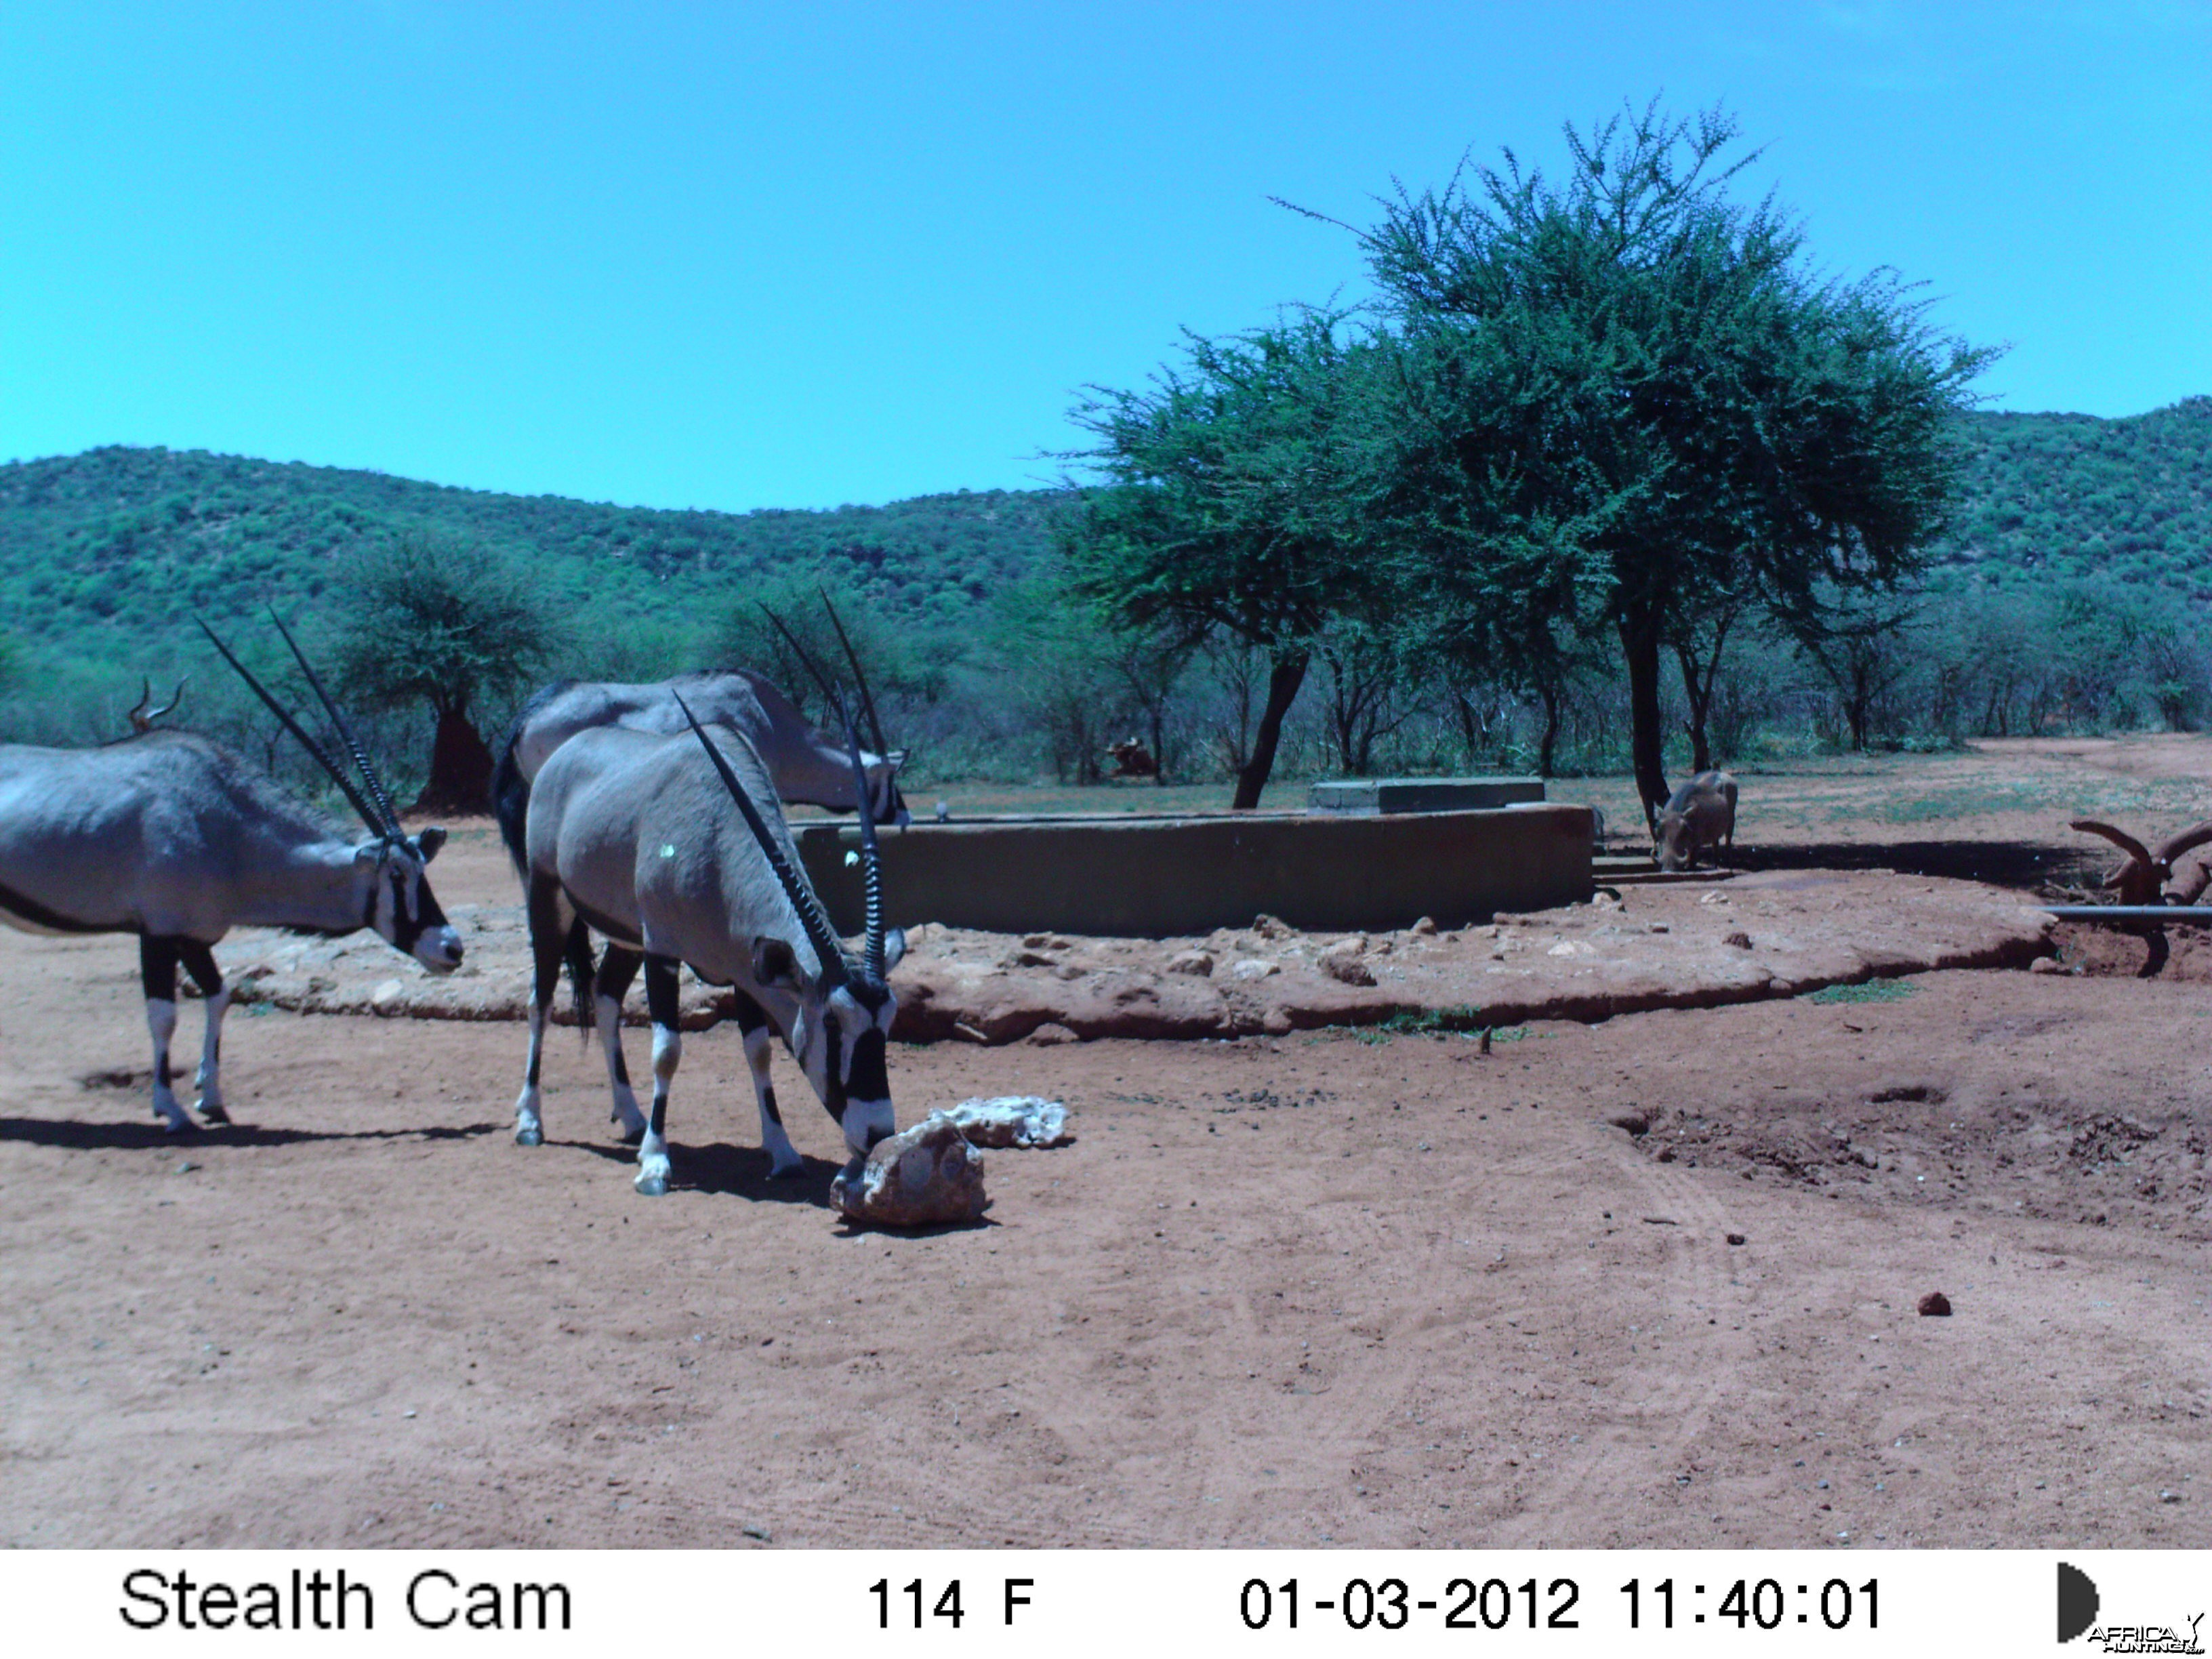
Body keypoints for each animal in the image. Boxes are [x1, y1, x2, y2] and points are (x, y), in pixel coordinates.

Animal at [0, 623, 457, 1132]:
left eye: (423, 868)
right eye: (396, 872)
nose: (451, 948)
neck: (224, 821)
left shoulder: (194, 937)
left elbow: (219, 997)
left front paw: (212, 1098)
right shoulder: (158, 933)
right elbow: (163, 1016)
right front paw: (171, 1108)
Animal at [508, 694, 898, 1203]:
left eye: (887, 1022)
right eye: (832, 1023)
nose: (878, 1134)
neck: (717, 838)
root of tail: (567, 751)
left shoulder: (745, 970)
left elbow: (759, 1051)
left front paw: (783, 1153)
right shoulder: (663, 952)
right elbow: (667, 1051)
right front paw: (655, 1165)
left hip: (627, 935)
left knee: (606, 997)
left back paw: (631, 1117)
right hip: (548, 897)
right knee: (542, 1000)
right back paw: (531, 1121)